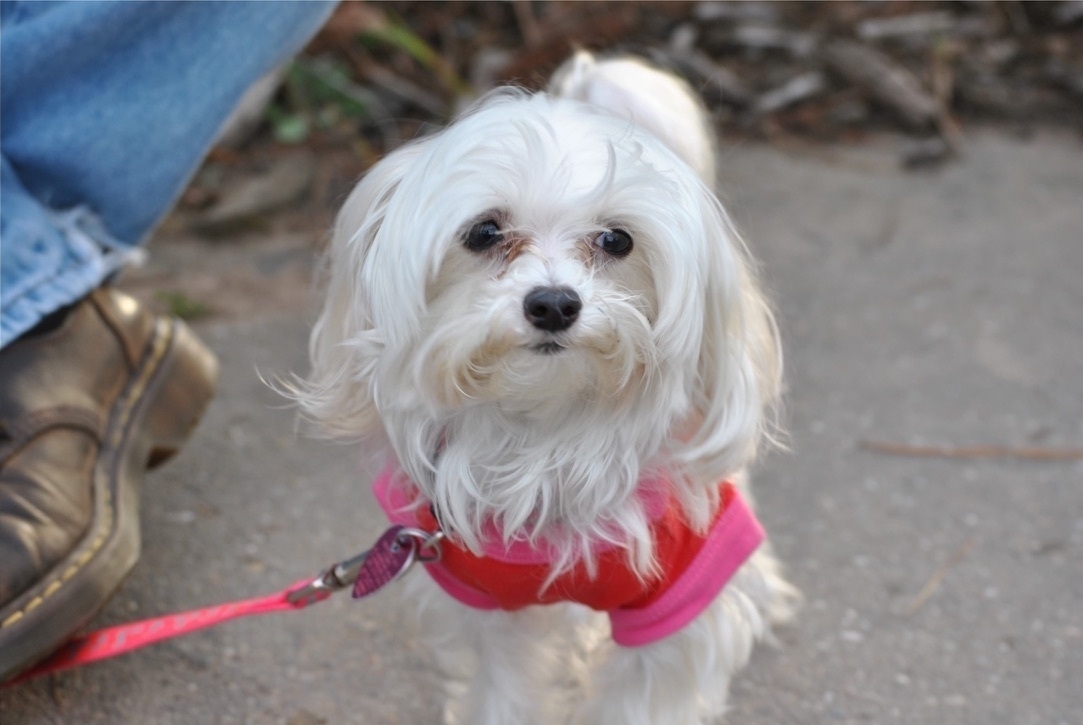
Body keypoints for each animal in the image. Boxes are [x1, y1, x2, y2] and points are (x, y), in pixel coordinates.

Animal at [296, 52, 797, 723]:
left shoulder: (674, 600)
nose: (555, 303)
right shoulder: (483, 601)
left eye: (616, 239)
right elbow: (504, 690)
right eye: (484, 233)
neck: (546, 438)